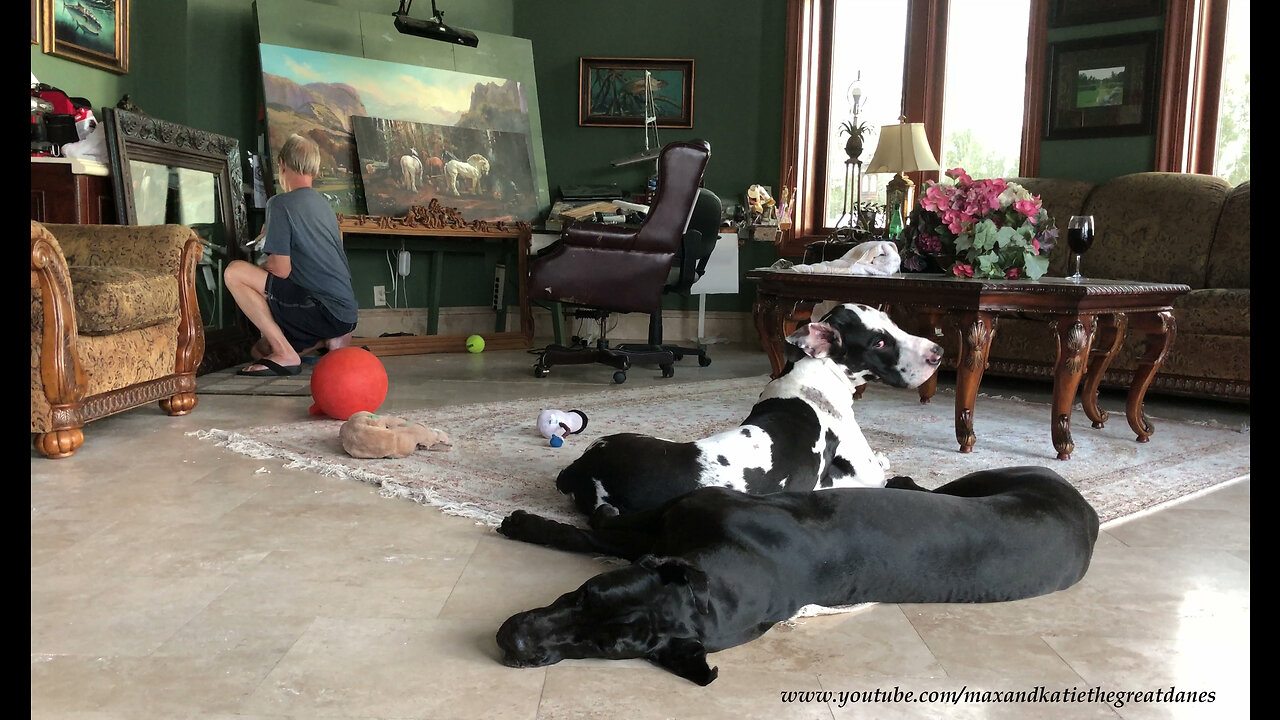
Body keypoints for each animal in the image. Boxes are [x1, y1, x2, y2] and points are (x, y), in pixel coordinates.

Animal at [496, 466, 1100, 681]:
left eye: (604, 649)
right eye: (587, 594)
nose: (515, 642)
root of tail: (1090, 516)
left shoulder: (659, 525)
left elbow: (594, 532)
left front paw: (536, 521)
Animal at [555, 299, 947, 512]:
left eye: (894, 324)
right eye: (879, 342)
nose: (939, 352)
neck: (814, 376)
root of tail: (582, 468)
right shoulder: (867, 476)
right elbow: (879, 466)